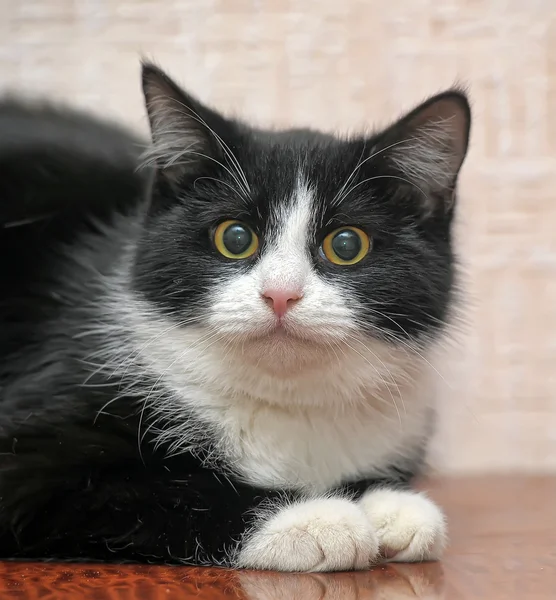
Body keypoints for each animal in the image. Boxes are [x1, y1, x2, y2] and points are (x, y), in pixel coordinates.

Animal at [0, 63, 470, 568]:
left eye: (347, 245)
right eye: (235, 237)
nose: (280, 294)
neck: (286, 402)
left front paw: (389, 504)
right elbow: (171, 489)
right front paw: (316, 519)